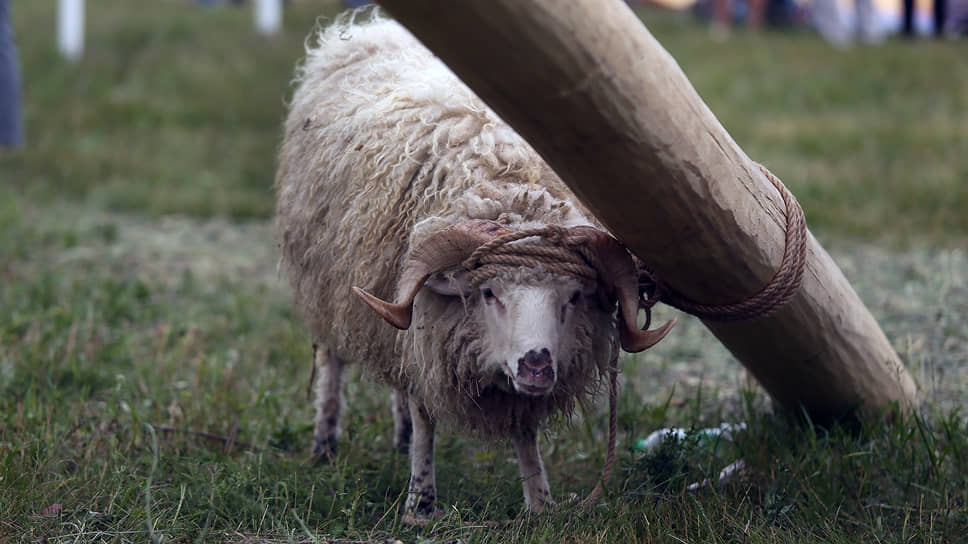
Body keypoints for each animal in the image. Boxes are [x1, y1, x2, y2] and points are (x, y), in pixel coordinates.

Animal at [276, 13, 676, 524]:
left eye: (574, 297)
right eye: (489, 294)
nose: (538, 365)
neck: (505, 179)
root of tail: (373, 26)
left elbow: (524, 429)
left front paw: (539, 502)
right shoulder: (430, 328)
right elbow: (426, 415)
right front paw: (421, 503)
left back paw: (398, 438)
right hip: (326, 282)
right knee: (331, 360)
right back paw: (325, 443)